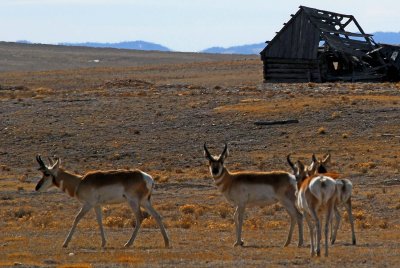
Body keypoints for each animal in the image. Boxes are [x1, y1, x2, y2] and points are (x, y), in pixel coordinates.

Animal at [34, 156, 170, 248]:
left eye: (47, 173)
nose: (37, 188)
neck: (80, 181)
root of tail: (147, 177)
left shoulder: (88, 204)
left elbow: (77, 219)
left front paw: (65, 243)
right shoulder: (97, 205)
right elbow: (99, 221)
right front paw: (104, 243)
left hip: (133, 202)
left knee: (140, 218)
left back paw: (128, 243)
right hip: (144, 202)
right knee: (157, 216)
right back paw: (167, 242)